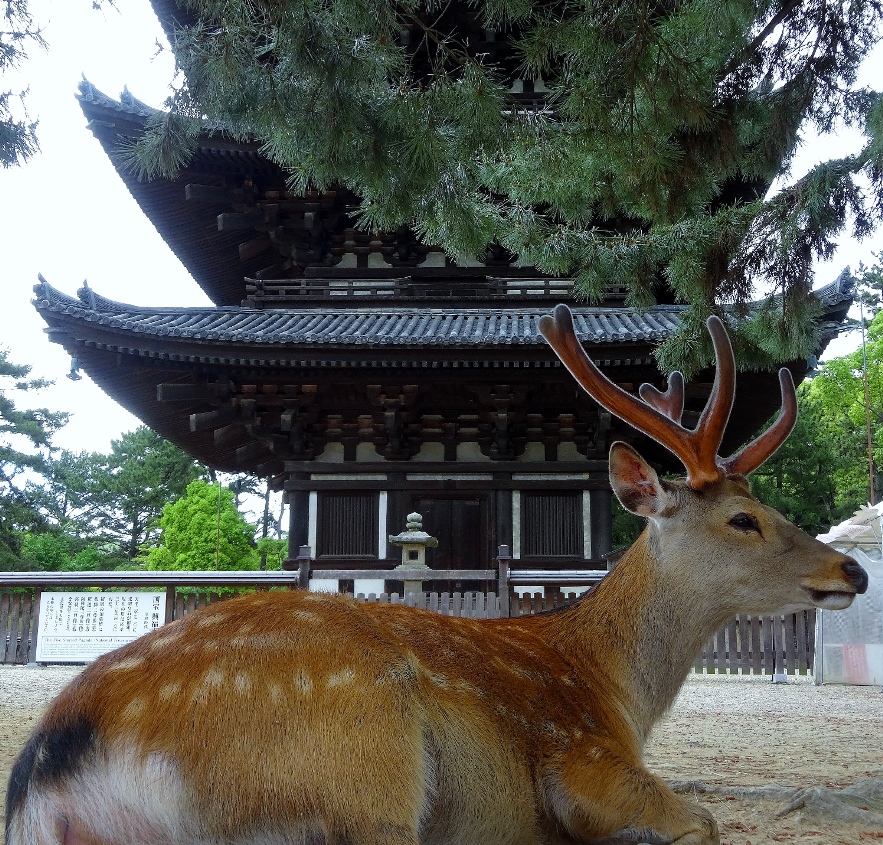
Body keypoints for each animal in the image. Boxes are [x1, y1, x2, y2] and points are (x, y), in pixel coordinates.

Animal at [3, 304, 868, 844]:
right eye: (742, 518)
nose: (852, 568)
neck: (611, 686)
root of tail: (53, 756)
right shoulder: (582, 755)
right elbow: (705, 821)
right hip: (359, 765)